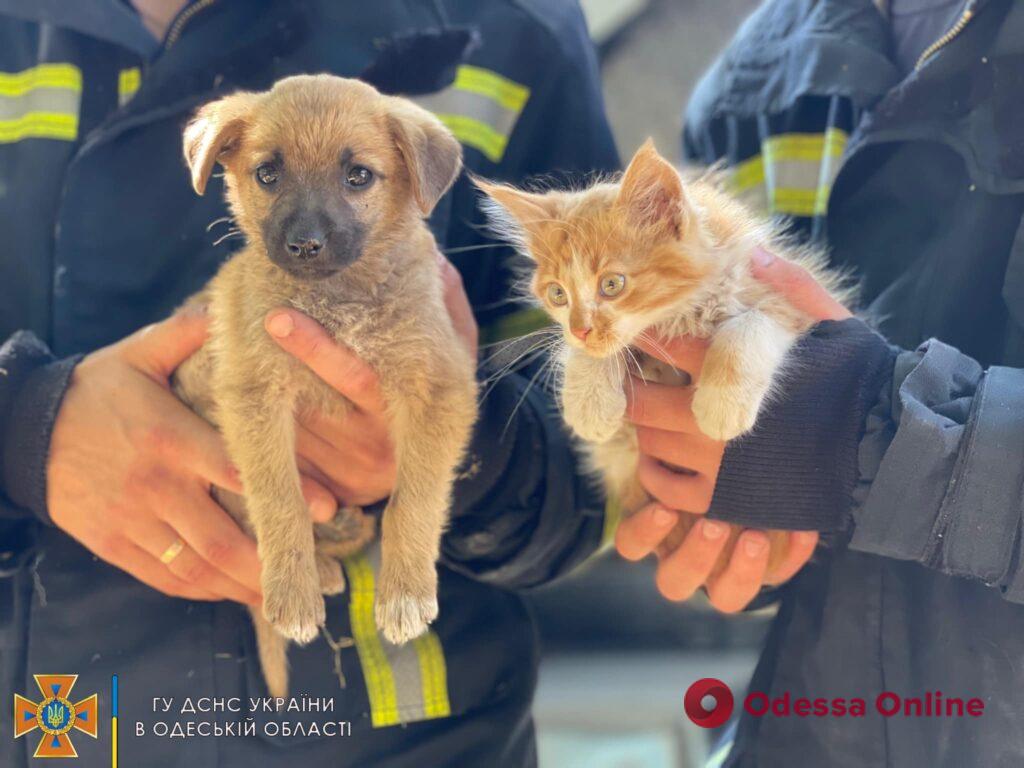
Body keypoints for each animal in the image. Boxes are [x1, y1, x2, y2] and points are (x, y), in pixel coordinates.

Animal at [172, 76, 479, 696]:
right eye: (268, 173)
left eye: (358, 175)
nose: (305, 244)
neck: (336, 302)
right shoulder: (251, 392)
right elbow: (278, 498)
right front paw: (292, 592)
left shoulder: (439, 383)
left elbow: (414, 497)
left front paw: (405, 593)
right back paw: (319, 565)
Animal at [475, 141, 851, 581]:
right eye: (557, 294)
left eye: (612, 284)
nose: (582, 329)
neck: (680, 314)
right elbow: (592, 354)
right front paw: (589, 401)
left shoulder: (788, 300)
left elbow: (750, 325)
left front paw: (720, 405)